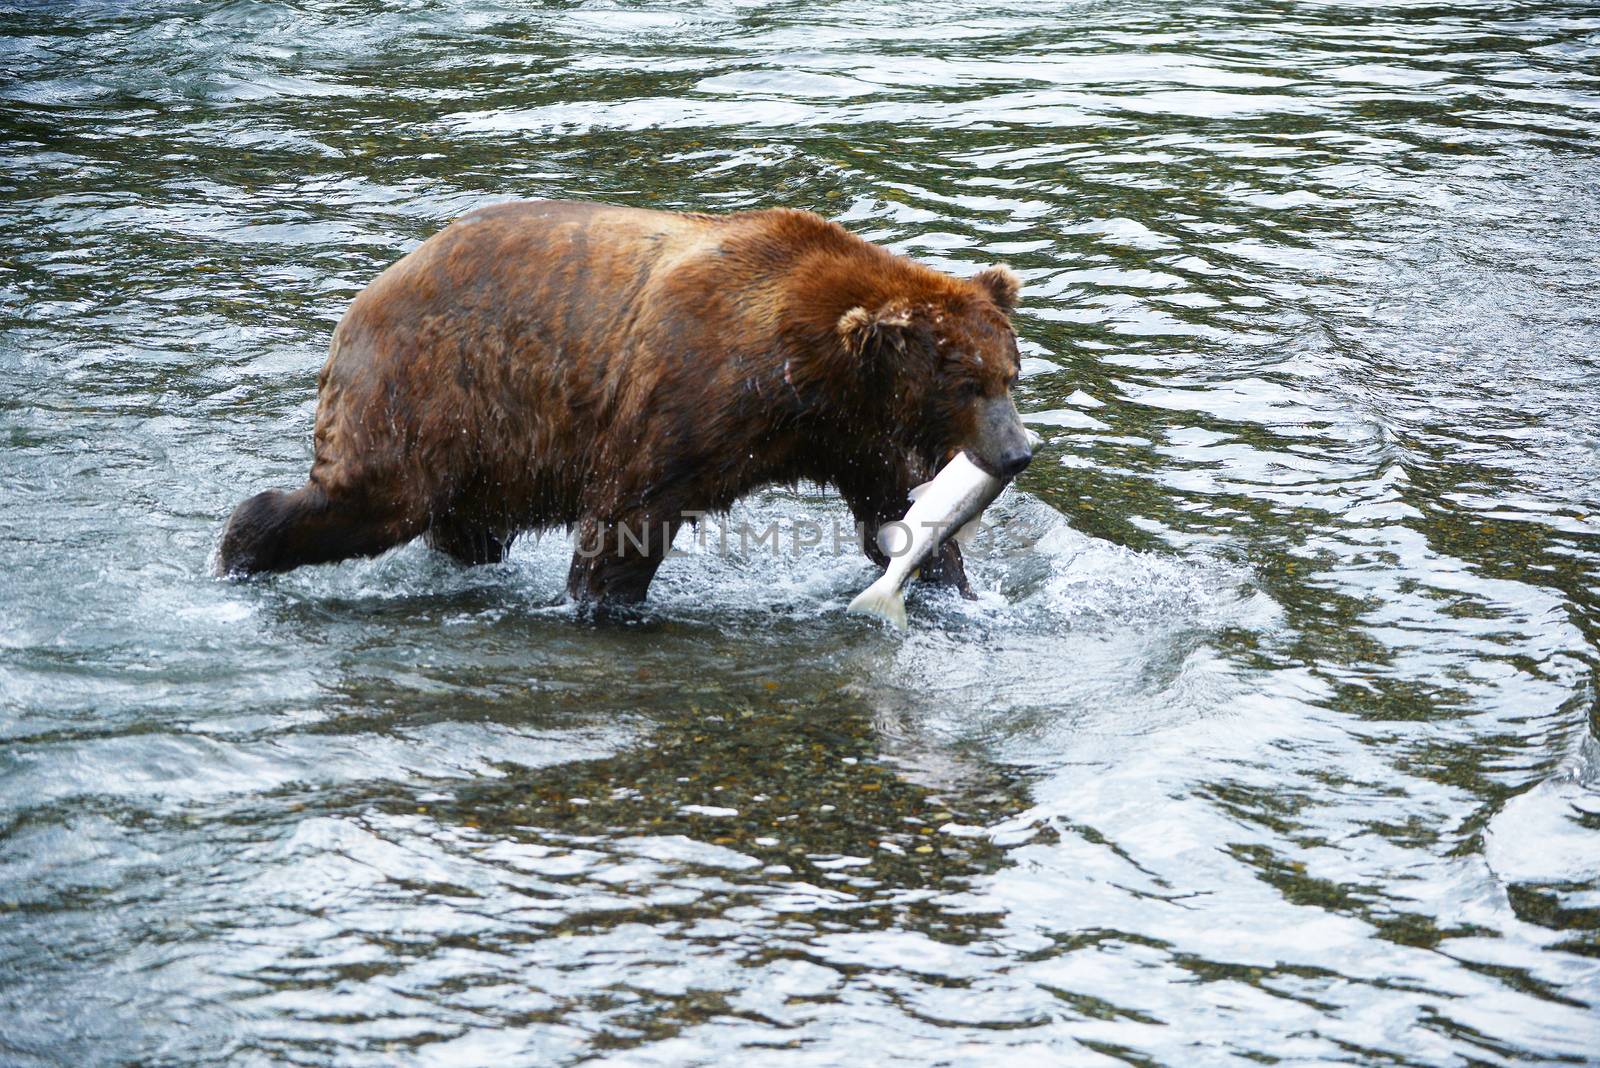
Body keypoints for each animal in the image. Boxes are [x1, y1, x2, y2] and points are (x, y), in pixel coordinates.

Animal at [216, 198, 1036, 601]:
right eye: (967, 383)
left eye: (1010, 374)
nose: (1017, 452)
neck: (808, 373)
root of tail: (367, 295)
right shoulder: (689, 391)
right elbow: (627, 515)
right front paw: (604, 602)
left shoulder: (851, 433)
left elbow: (894, 515)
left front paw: (950, 587)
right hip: (427, 389)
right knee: (376, 495)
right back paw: (238, 550)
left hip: (485, 447)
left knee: (462, 526)